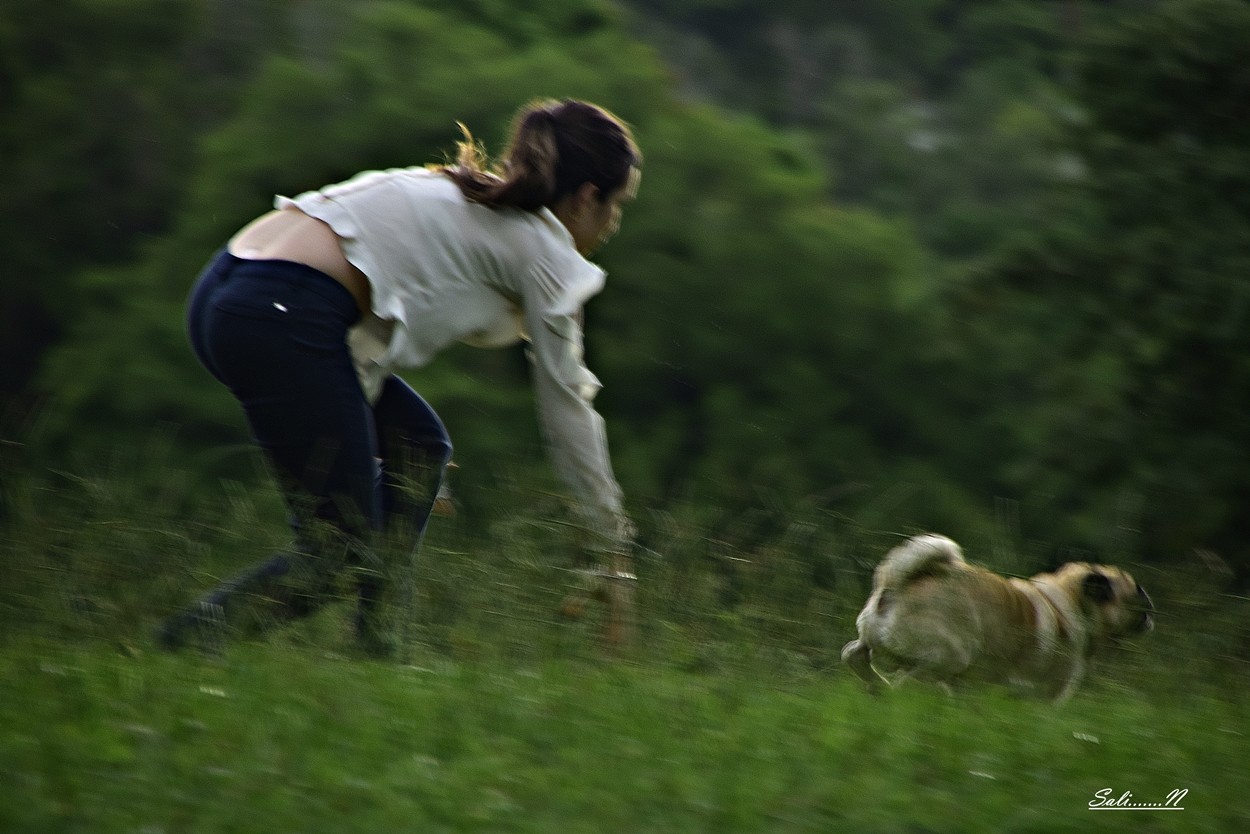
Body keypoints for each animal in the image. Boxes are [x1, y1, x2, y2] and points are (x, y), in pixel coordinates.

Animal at [840, 532, 1150, 700]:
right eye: (1136, 592)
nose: (1149, 606)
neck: (1073, 603)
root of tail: (898, 586)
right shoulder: (1050, 691)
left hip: (875, 642)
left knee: (853, 654)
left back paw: (876, 687)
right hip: (950, 656)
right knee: (907, 679)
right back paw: (891, 691)